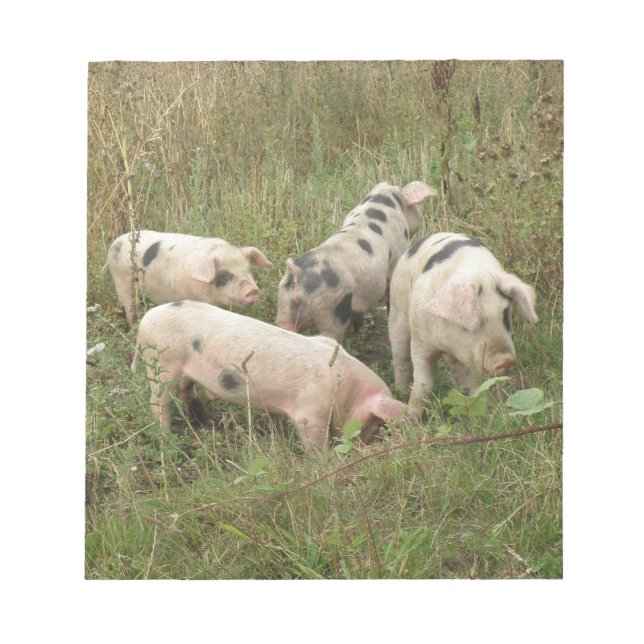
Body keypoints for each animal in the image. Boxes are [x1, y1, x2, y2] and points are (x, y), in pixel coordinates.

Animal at [105, 230, 272, 325]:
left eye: (248, 269)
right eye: (223, 275)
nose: (252, 290)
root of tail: (115, 242)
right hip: (121, 279)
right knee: (129, 306)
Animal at [132, 300, 406, 449]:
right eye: (375, 422)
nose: (363, 445)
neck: (347, 389)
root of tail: (146, 319)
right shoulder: (310, 412)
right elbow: (314, 441)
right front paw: (323, 461)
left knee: (187, 391)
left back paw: (209, 423)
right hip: (161, 364)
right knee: (158, 403)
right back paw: (167, 438)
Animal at [388, 232, 538, 420]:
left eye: (505, 316)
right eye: (469, 324)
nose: (505, 361)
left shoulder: (474, 357)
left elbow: (477, 386)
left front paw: (477, 416)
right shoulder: (421, 341)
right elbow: (423, 383)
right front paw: (410, 419)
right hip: (397, 308)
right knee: (401, 356)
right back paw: (400, 391)